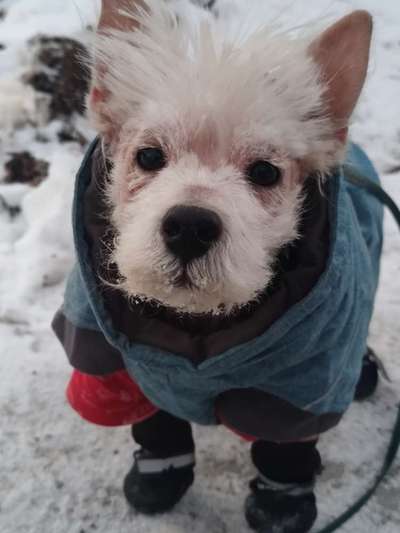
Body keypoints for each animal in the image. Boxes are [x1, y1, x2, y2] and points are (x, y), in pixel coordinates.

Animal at [51, 2, 382, 528]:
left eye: (265, 172)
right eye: (148, 156)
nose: (189, 225)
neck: (196, 324)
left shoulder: (299, 386)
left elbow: (285, 451)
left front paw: (281, 508)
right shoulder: (121, 368)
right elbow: (155, 425)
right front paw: (159, 476)